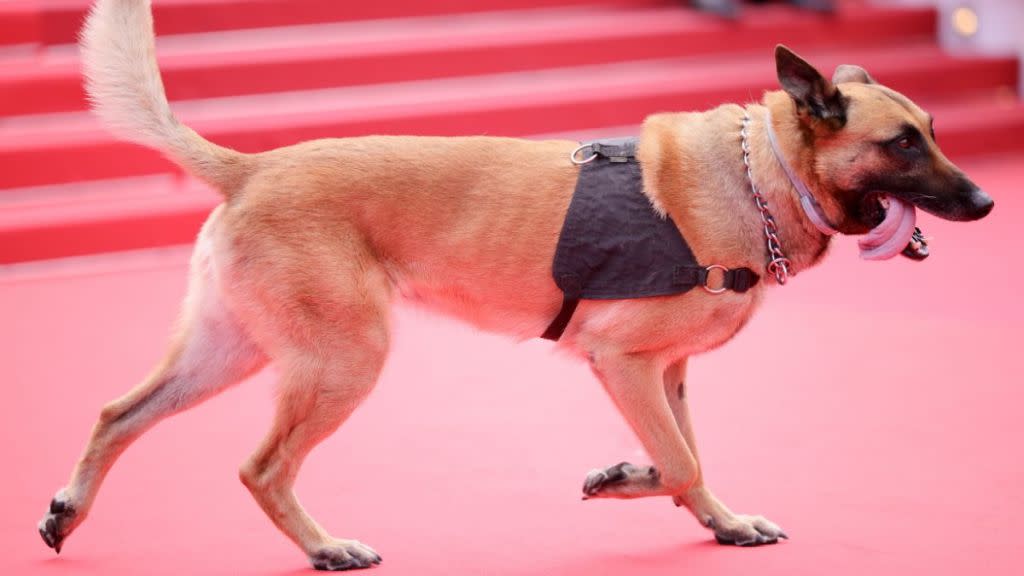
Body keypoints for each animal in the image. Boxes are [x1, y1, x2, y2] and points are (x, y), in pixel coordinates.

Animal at [37, 0, 991, 565]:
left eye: (933, 130)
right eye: (903, 143)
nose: (986, 201)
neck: (763, 176)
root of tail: (252, 167)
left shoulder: (669, 373)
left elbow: (690, 457)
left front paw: (711, 516)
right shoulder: (621, 363)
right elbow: (681, 459)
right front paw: (636, 479)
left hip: (236, 351)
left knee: (118, 414)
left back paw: (69, 511)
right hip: (343, 362)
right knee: (261, 467)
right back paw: (324, 546)